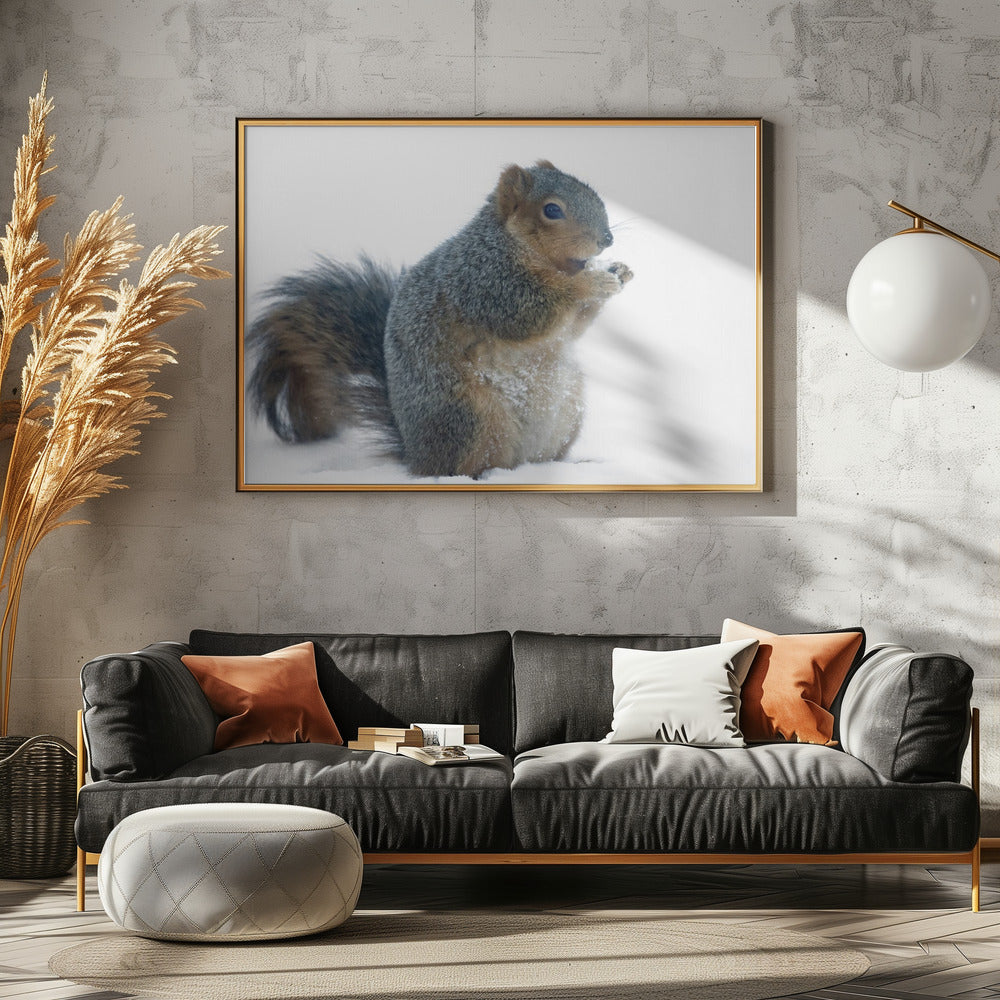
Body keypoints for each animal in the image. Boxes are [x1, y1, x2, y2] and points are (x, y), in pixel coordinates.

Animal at [247, 160, 633, 478]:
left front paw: (620, 271)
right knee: (464, 466)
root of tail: (415, 453)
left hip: (567, 412)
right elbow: (529, 313)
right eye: (552, 210)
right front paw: (593, 282)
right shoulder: (484, 284)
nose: (607, 239)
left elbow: (575, 328)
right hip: (469, 417)